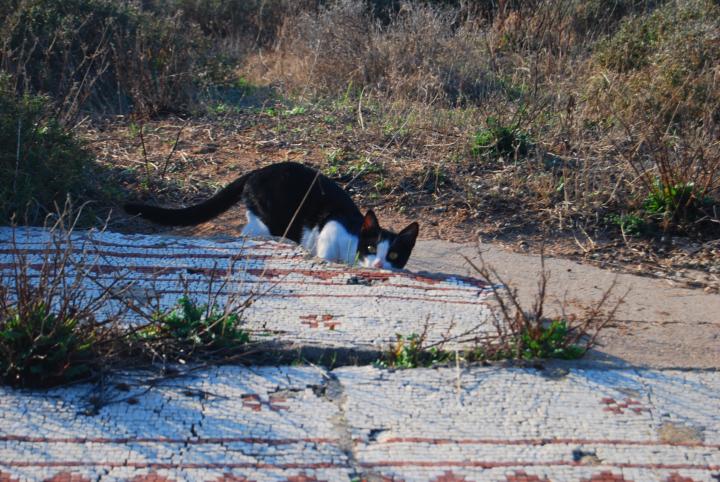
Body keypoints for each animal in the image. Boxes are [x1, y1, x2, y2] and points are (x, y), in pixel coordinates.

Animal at [121, 161, 420, 268]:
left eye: (394, 255)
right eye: (370, 248)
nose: (379, 264)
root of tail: (256, 171)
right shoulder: (332, 228)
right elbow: (325, 250)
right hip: (271, 218)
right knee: (249, 230)